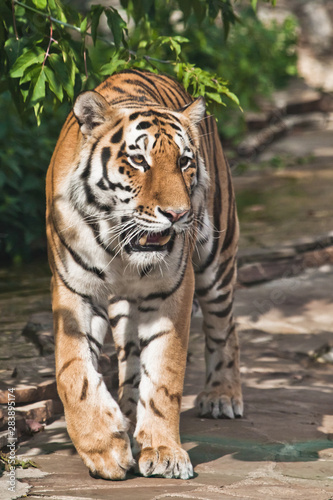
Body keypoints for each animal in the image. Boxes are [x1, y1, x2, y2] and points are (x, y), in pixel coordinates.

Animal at [45, 67, 243, 480]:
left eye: (184, 161)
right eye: (139, 161)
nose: (178, 214)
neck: (119, 248)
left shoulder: (172, 290)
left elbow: (165, 375)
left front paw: (165, 452)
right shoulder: (75, 291)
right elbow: (72, 372)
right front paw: (104, 446)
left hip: (216, 257)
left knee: (224, 325)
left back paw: (222, 395)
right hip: (125, 305)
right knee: (129, 357)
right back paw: (126, 409)